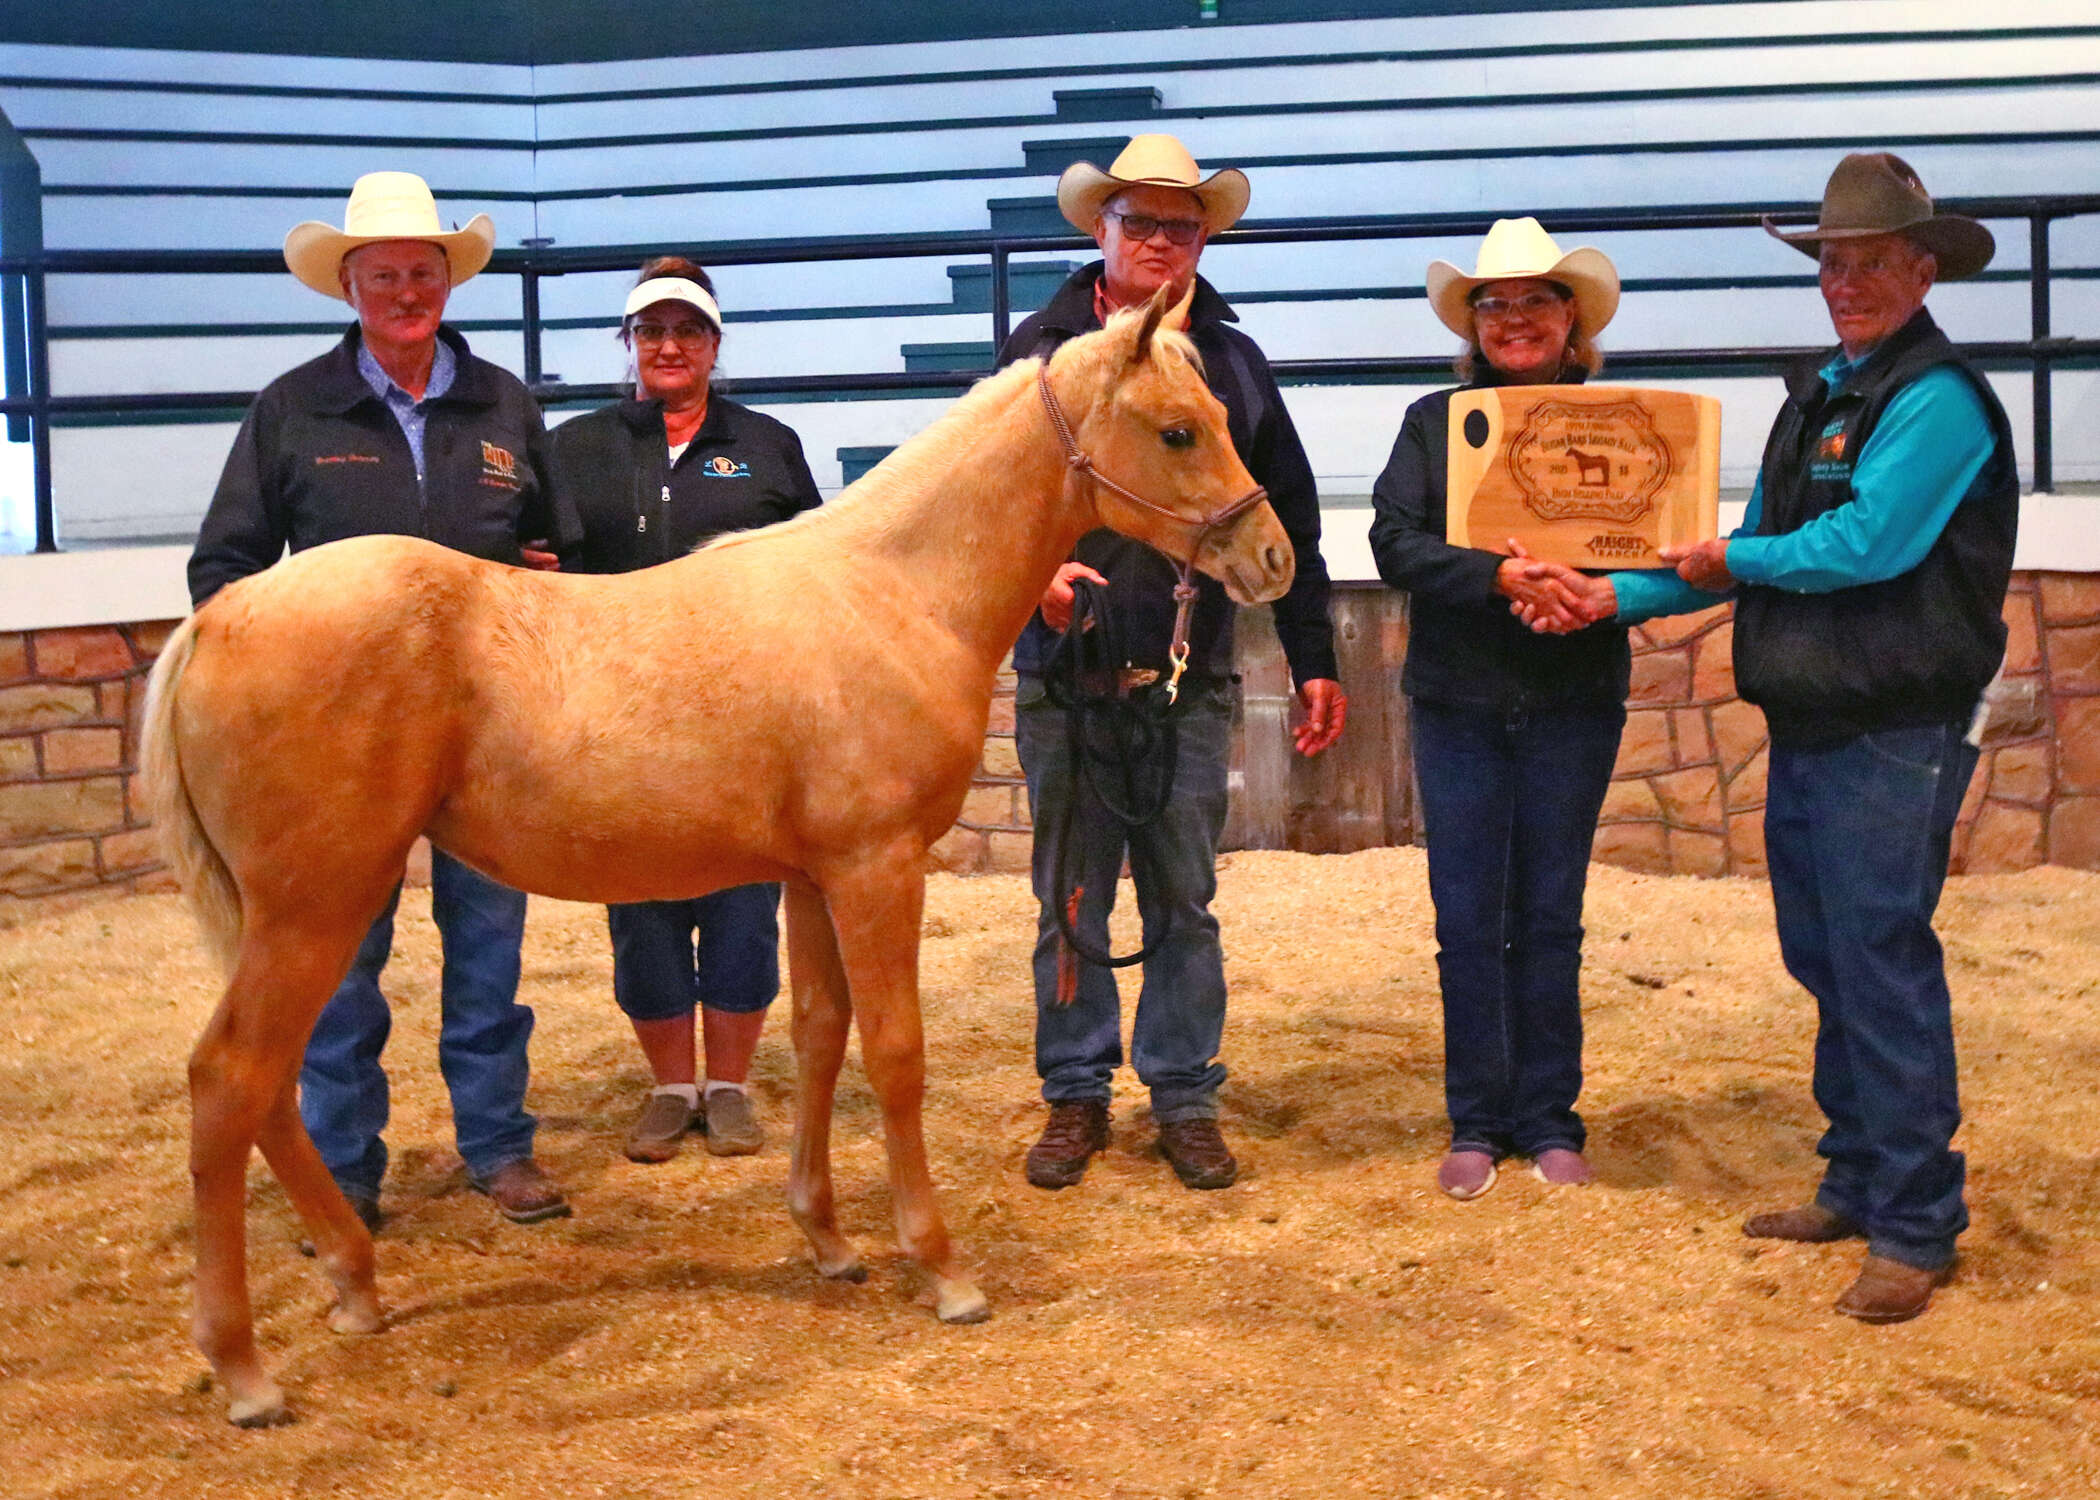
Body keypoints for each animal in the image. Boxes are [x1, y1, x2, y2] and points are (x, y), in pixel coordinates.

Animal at [141, 288, 1295, 1427]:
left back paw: (353, 1283)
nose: (1274, 557)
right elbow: (896, 1054)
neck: (891, 593)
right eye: (1179, 431)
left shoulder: (813, 878)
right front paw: (942, 1270)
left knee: (266, 1088)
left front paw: (828, 1242)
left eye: (1221, 415)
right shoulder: (877, 870)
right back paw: (245, 1370)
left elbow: (821, 1037)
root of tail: (216, 619)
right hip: (317, 908)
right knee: (229, 1080)